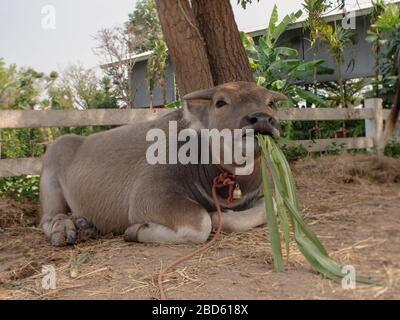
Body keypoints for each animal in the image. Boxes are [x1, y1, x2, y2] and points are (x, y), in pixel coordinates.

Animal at [39, 81, 284, 246]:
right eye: (220, 102)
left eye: (271, 102)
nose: (262, 119)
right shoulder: (149, 198)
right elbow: (200, 224)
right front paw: (136, 231)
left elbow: (268, 207)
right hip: (50, 177)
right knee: (49, 217)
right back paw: (64, 230)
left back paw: (87, 226)